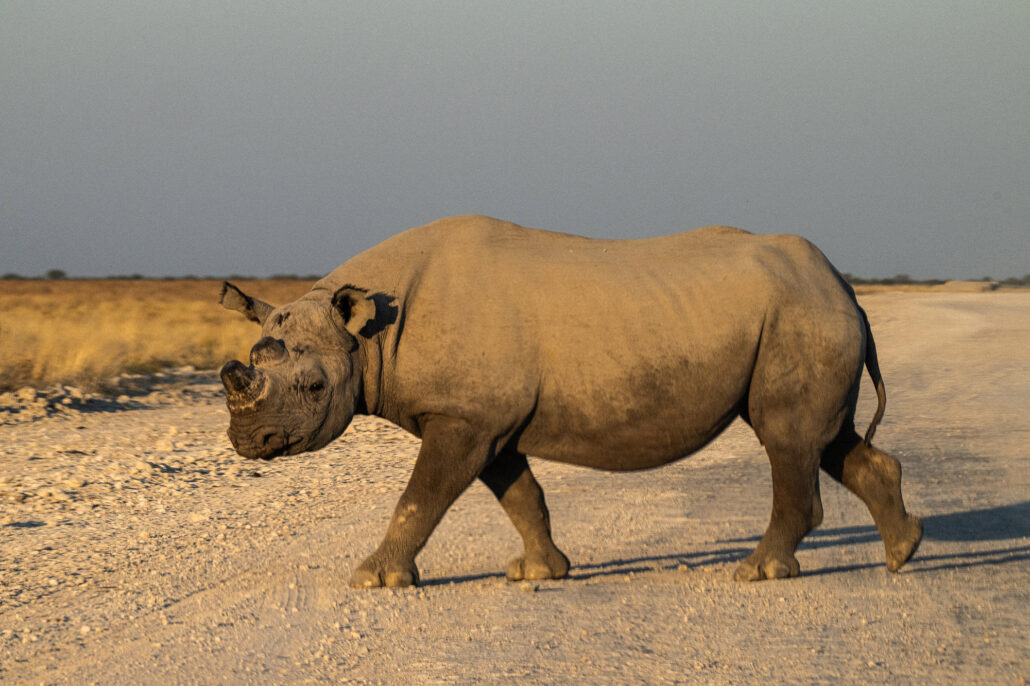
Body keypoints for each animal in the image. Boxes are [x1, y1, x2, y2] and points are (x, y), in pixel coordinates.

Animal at [218, 215, 922, 588]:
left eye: (314, 388)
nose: (248, 444)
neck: (368, 336)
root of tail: (844, 288)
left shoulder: (464, 418)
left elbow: (420, 498)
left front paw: (374, 580)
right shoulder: (485, 419)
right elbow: (520, 495)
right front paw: (539, 573)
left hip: (801, 316)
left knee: (787, 437)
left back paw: (756, 573)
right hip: (805, 316)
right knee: (822, 440)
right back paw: (902, 555)